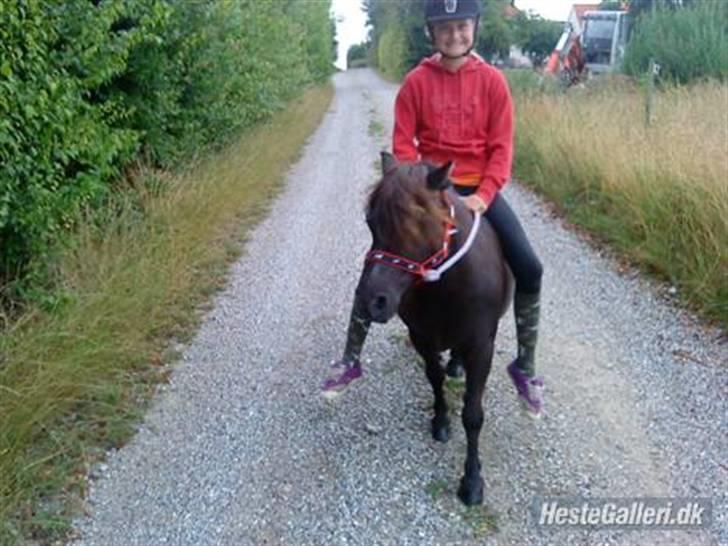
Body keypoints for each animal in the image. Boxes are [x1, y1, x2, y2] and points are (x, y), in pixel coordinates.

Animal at [360, 151, 512, 504]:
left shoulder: (482, 347)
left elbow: (473, 414)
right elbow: (435, 378)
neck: (447, 286)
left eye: (417, 223)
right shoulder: (422, 337)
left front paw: (472, 481)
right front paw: (440, 421)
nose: (372, 302)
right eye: (370, 222)